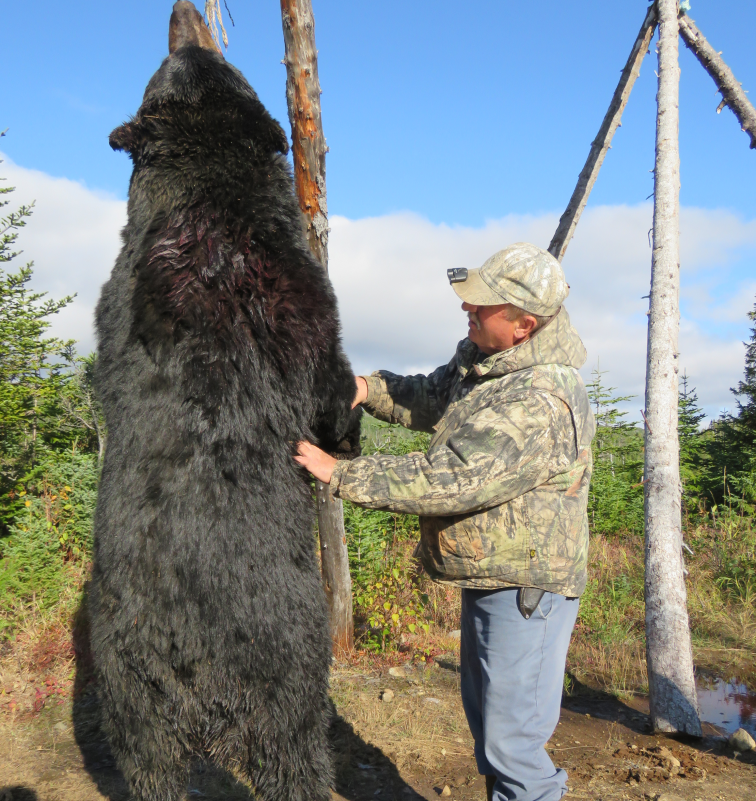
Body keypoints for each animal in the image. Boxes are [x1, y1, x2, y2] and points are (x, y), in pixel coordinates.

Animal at [90, 3, 358, 800]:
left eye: (179, 47)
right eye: (205, 54)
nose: (183, 10)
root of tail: (192, 666)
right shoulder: (295, 288)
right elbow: (327, 373)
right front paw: (349, 423)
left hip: (130, 700)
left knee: (148, 766)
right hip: (289, 674)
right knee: (296, 754)